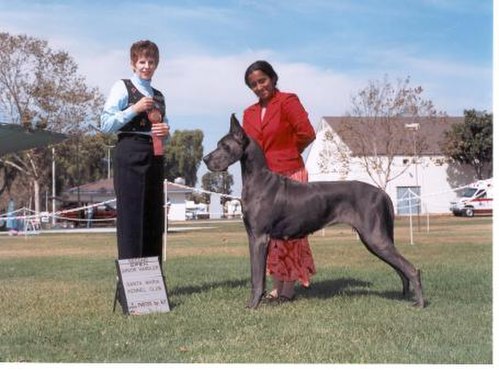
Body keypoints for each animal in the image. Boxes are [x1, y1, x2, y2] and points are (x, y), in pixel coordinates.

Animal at [203, 115, 426, 310]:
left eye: (224, 146)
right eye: (218, 143)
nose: (205, 159)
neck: (258, 179)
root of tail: (382, 192)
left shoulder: (260, 237)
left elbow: (257, 277)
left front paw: (253, 305)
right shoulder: (252, 237)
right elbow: (254, 273)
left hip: (375, 238)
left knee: (412, 269)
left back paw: (420, 304)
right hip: (374, 239)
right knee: (402, 268)